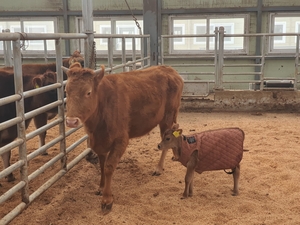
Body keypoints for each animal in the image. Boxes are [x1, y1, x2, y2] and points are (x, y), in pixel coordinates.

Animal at [62, 62, 183, 214]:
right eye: (66, 92)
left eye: (88, 92)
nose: (71, 121)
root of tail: (169, 70)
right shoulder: (100, 142)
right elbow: (102, 165)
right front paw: (101, 187)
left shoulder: (121, 140)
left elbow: (109, 167)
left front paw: (107, 200)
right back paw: (175, 155)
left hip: (168, 116)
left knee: (167, 137)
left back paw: (159, 168)